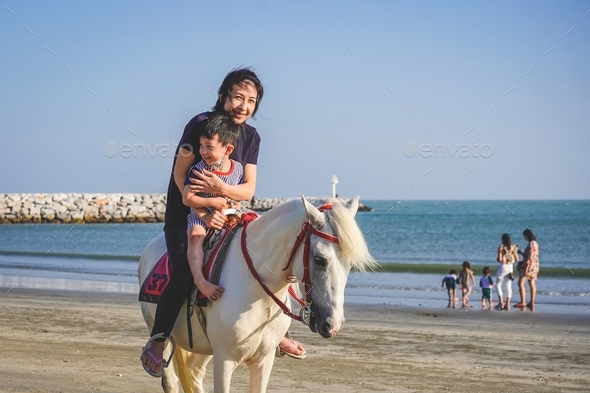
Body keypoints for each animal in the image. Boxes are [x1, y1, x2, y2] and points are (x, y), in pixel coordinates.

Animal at [140, 196, 374, 392]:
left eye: (350, 264)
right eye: (319, 260)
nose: (333, 325)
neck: (258, 294)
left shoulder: (264, 360)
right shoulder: (224, 359)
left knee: (193, 376)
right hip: (164, 335)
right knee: (171, 380)